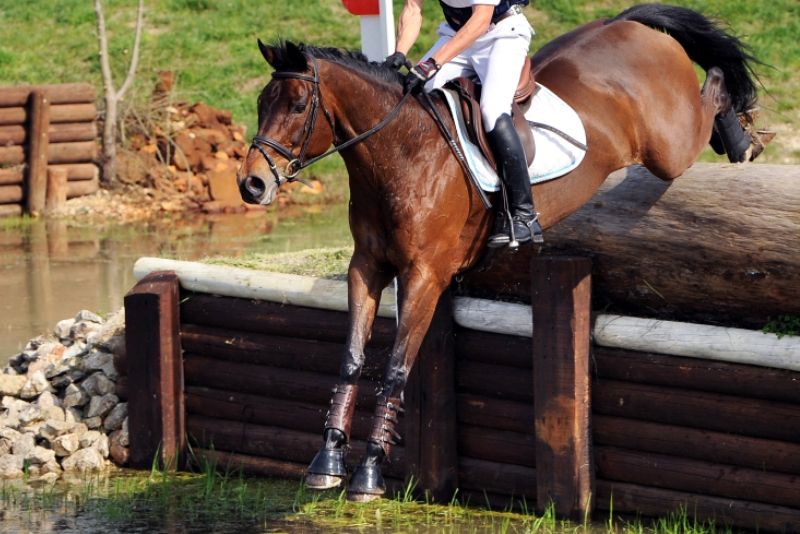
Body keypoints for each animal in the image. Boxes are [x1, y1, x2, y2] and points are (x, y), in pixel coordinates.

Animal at [237, 3, 763, 502]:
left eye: (298, 105)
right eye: (261, 103)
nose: (251, 185)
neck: (400, 153)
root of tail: (625, 23)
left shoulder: (424, 274)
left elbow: (395, 370)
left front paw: (368, 474)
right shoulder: (366, 267)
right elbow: (350, 359)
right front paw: (326, 462)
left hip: (668, 147)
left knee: (714, 86)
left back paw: (741, 137)